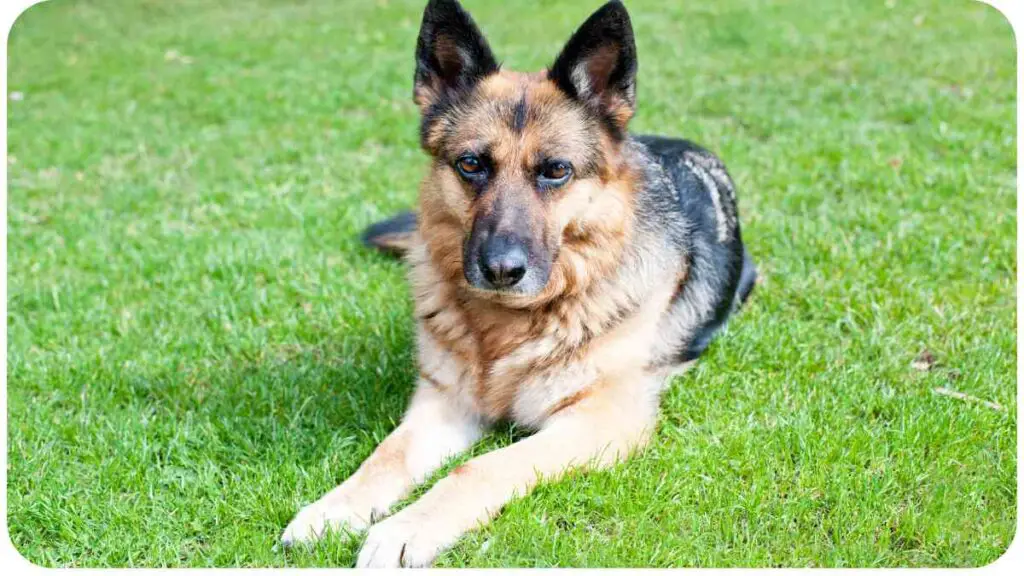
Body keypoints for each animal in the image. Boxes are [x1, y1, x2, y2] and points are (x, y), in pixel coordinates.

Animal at [284, 0, 757, 565]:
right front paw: (334, 508)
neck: (508, 325)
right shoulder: (444, 405)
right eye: (471, 164)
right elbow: (386, 455)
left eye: (556, 171)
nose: (501, 270)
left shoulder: (599, 421)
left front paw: (406, 529)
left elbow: (479, 467)